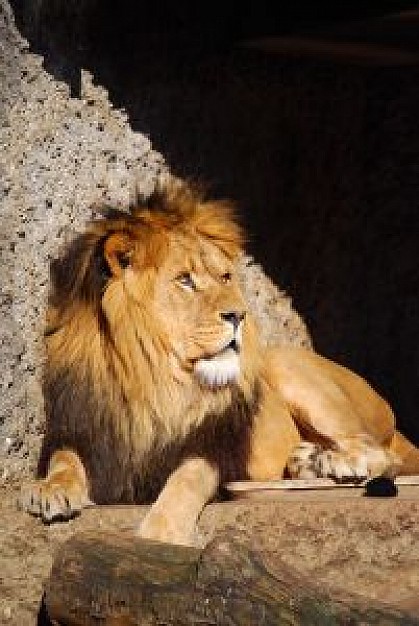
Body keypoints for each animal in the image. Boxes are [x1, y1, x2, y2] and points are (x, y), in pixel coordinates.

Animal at [21, 179, 419, 540]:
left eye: (225, 276)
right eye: (185, 280)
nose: (240, 315)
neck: (151, 377)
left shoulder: (212, 450)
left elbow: (186, 480)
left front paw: (159, 535)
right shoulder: (83, 432)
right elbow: (63, 460)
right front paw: (50, 490)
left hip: (291, 367)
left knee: (383, 454)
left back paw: (336, 461)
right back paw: (307, 461)